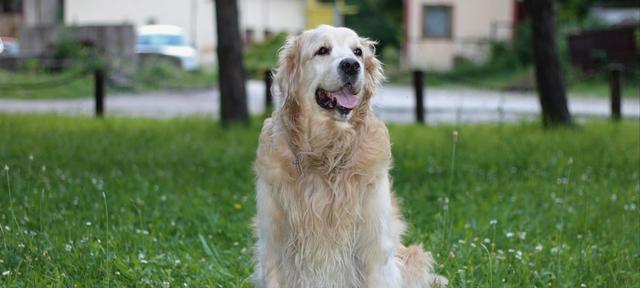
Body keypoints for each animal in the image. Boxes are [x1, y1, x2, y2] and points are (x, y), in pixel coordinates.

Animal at [252, 25, 448, 288]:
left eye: (357, 52)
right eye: (322, 50)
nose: (351, 65)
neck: (327, 153)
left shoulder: (372, 248)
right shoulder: (273, 244)